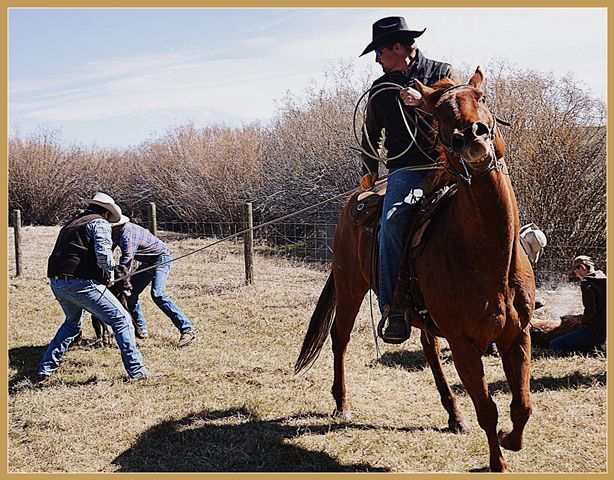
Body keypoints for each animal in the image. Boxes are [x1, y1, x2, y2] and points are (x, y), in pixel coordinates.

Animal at [296, 67, 536, 472]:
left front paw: (510, 440)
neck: (487, 256)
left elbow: (522, 406)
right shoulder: (464, 343)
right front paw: (497, 460)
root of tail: (356, 199)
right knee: (340, 338)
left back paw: (454, 415)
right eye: (436, 113)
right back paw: (342, 403)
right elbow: (487, 409)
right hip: (350, 288)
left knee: (428, 347)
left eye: (481, 98)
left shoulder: (517, 336)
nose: (472, 135)